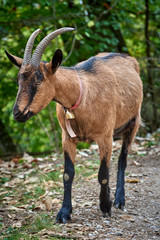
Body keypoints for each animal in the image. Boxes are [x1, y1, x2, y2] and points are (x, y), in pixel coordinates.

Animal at [5, 27, 143, 223]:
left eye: (38, 80)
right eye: (19, 80)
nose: (17, 113)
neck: (82, 93)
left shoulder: (105, 136)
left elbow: (103, 174)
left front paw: (105, 207)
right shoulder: (67, 138)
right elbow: (68, 174)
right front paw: (64, 212)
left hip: (133, 122)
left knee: (122, 160)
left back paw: (119, 199)